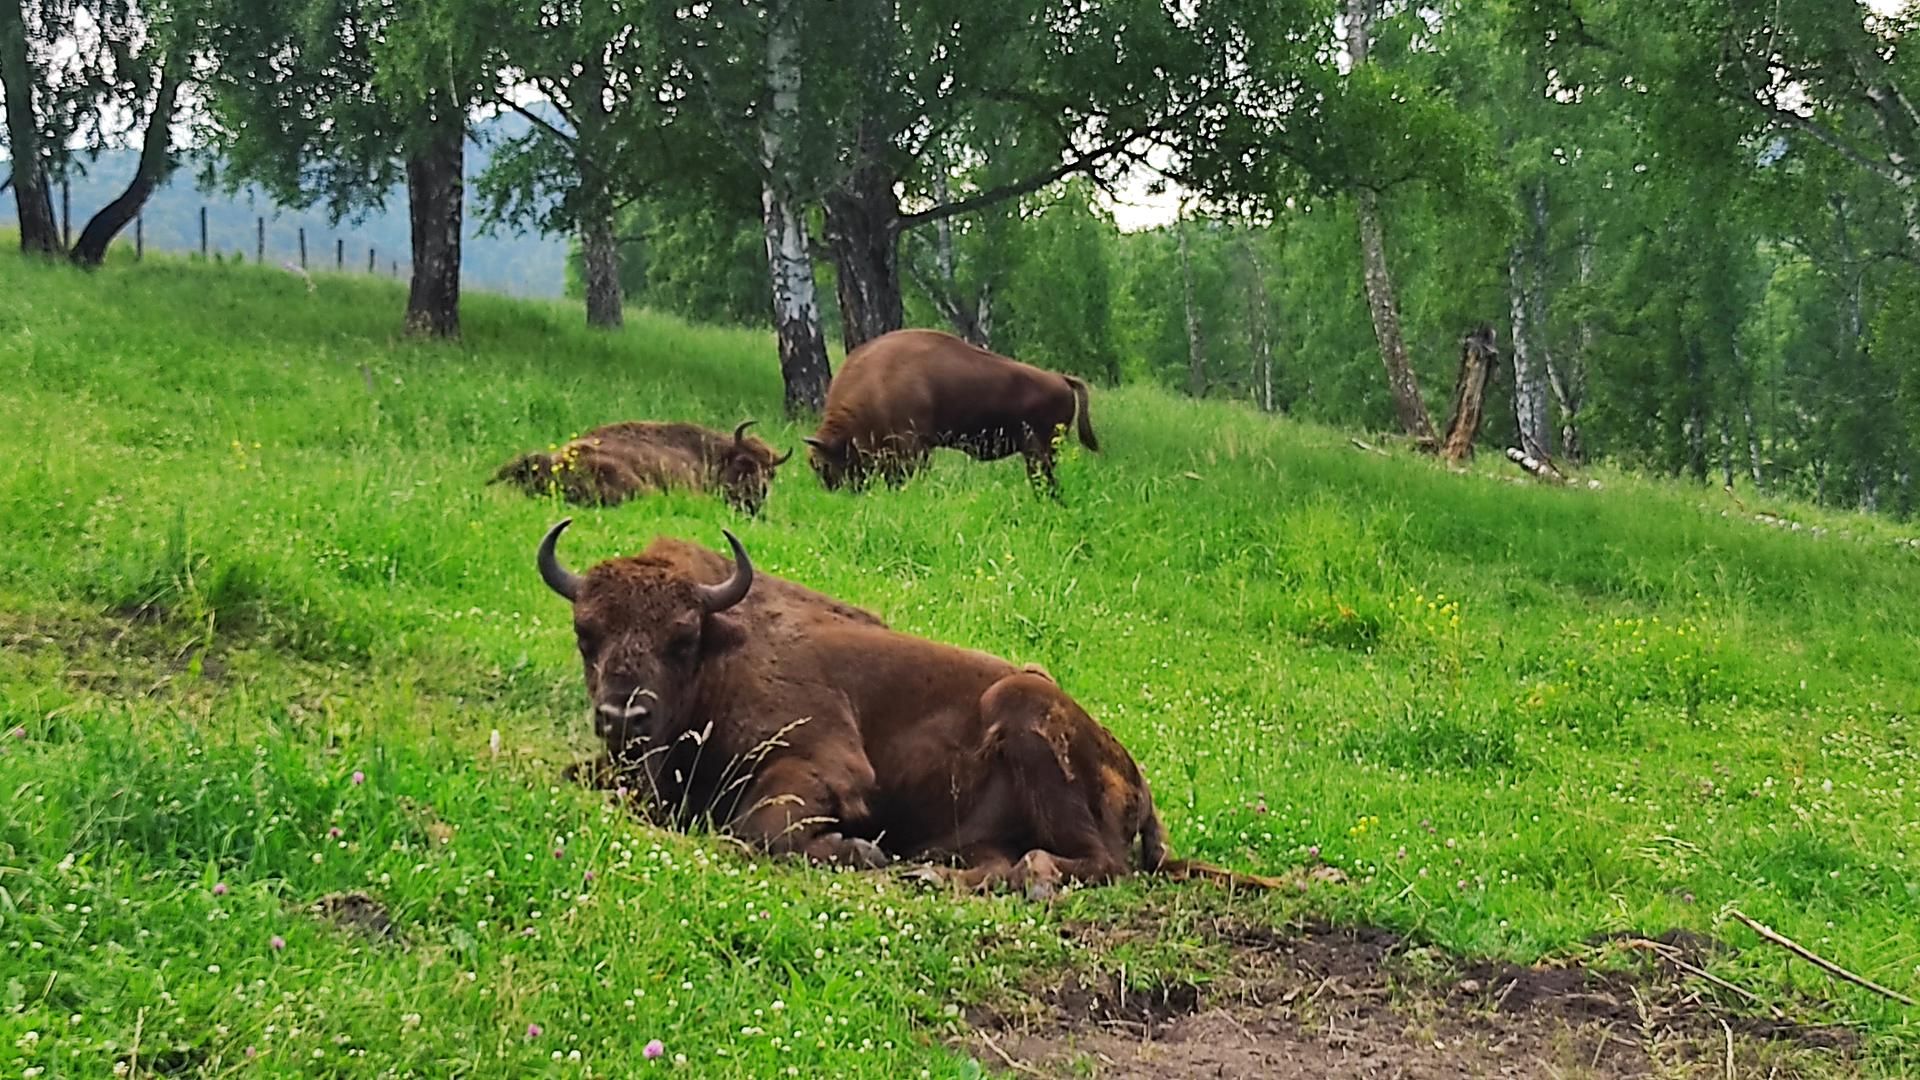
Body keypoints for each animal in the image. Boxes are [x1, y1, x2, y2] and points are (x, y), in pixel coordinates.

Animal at [533, 518, 1274, 895]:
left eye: (681, 638)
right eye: (585, 633)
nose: (622, 718)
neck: (726, 653)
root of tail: (1139, 778)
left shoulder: (824, 765)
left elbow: (758, 829)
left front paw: (859, 851)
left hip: (1023, 711)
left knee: (1100, 862)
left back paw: (1023, 875)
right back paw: (932, 870)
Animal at [798, 328, 1098, 491]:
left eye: (821, 464)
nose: (836, 491)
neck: (875, 381)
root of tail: (1061, 379)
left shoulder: (913, 448)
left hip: (1040, 451)